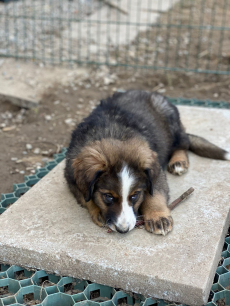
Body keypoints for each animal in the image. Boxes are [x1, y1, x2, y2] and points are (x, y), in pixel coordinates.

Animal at [63, 89, 229, 235]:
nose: (123, 230)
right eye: (108, 197)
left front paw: (158, 217)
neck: (111, 134)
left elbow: (154, 195)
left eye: (135, 196)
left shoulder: (156, 174)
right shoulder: (71, 179)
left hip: (172, 123)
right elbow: (86, 198)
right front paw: (98, 211)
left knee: (183, 143)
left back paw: (178, 162)